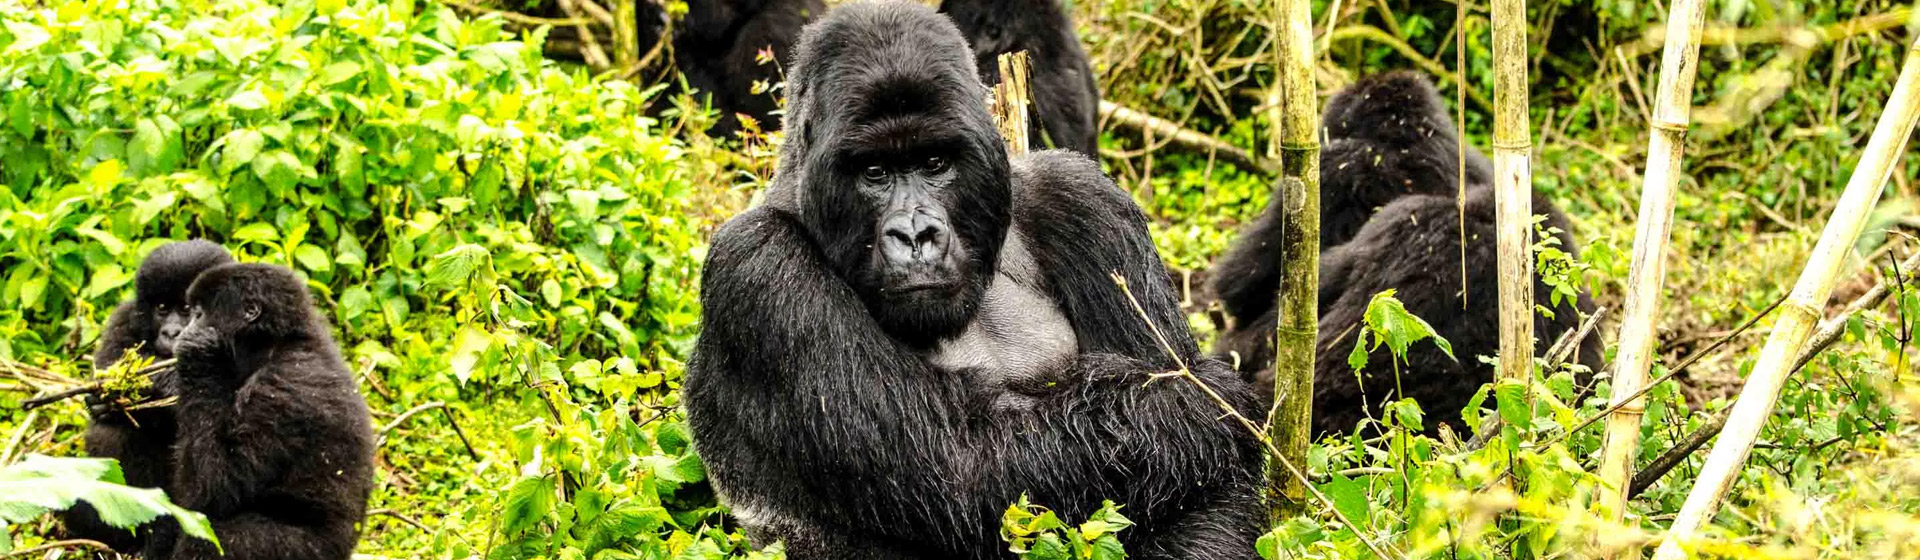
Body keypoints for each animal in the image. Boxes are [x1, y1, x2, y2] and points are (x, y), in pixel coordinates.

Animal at [142, 262, 374, 560]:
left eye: (198, 314)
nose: (179, 335)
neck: (275, 344)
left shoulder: (281, 391)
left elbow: (217, 486)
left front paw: (199, 357)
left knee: (217, 538)